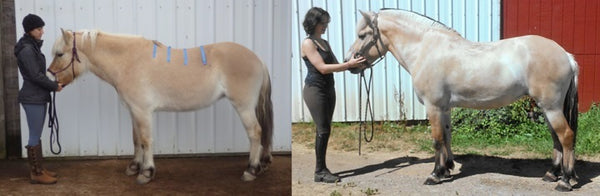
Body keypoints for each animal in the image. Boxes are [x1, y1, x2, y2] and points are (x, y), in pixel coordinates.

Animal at [48, 28, 274, 184]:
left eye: (59, 54)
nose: (50, 76)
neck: (128, 61)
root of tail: (258, 59)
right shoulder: (134, 111)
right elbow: (136, 139)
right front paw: (134, 167)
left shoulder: (143, 111)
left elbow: (146, 140)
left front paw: (146, 172)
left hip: (244, 107)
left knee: (255, 133)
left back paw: (251, 170)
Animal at [344, 9, 580, 191]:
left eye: (363, 35)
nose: (349, 62)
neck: (425, 49)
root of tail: (566, 55)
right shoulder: (444, 108)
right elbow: (447, 137)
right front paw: (447, 168)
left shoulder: (433, 106)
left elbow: (437, 139)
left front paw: (435, 175)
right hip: (548, 107)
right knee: (556, 138)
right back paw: (552, 174)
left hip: (551, 107)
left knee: (566, 136)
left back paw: (566, 181)